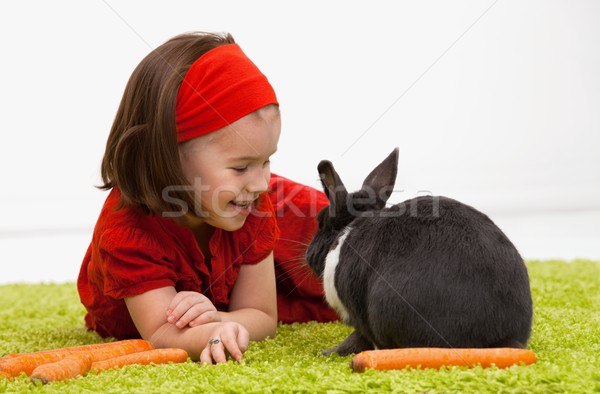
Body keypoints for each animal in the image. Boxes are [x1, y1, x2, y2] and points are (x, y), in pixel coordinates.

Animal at [308, 148, 532, 358]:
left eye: (321, 222)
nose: (308, 254)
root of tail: (498, 338)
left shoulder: (357, 312)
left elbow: (358, 336)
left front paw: (329, 352)